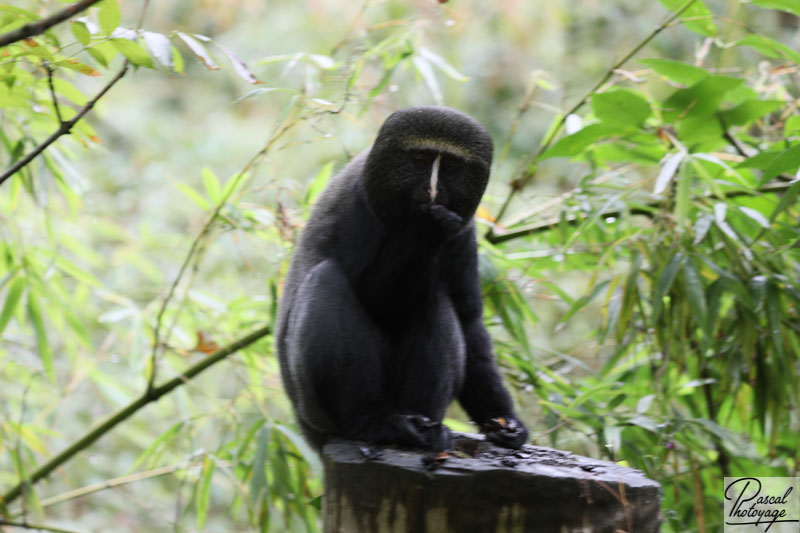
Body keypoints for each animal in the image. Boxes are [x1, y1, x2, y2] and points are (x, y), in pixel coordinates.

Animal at [278, 106, 528, 450]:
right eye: (420, 160)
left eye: (450, 167)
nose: (431, 191)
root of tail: (307, 429)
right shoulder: (356, 206)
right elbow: (375, 300)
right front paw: (427, 231)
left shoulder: (464, 230)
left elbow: (468, 320)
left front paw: (504, 421)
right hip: (315, 409)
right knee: (326, 278)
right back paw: (369, 425)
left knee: (436, 297)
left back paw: (422, 426)